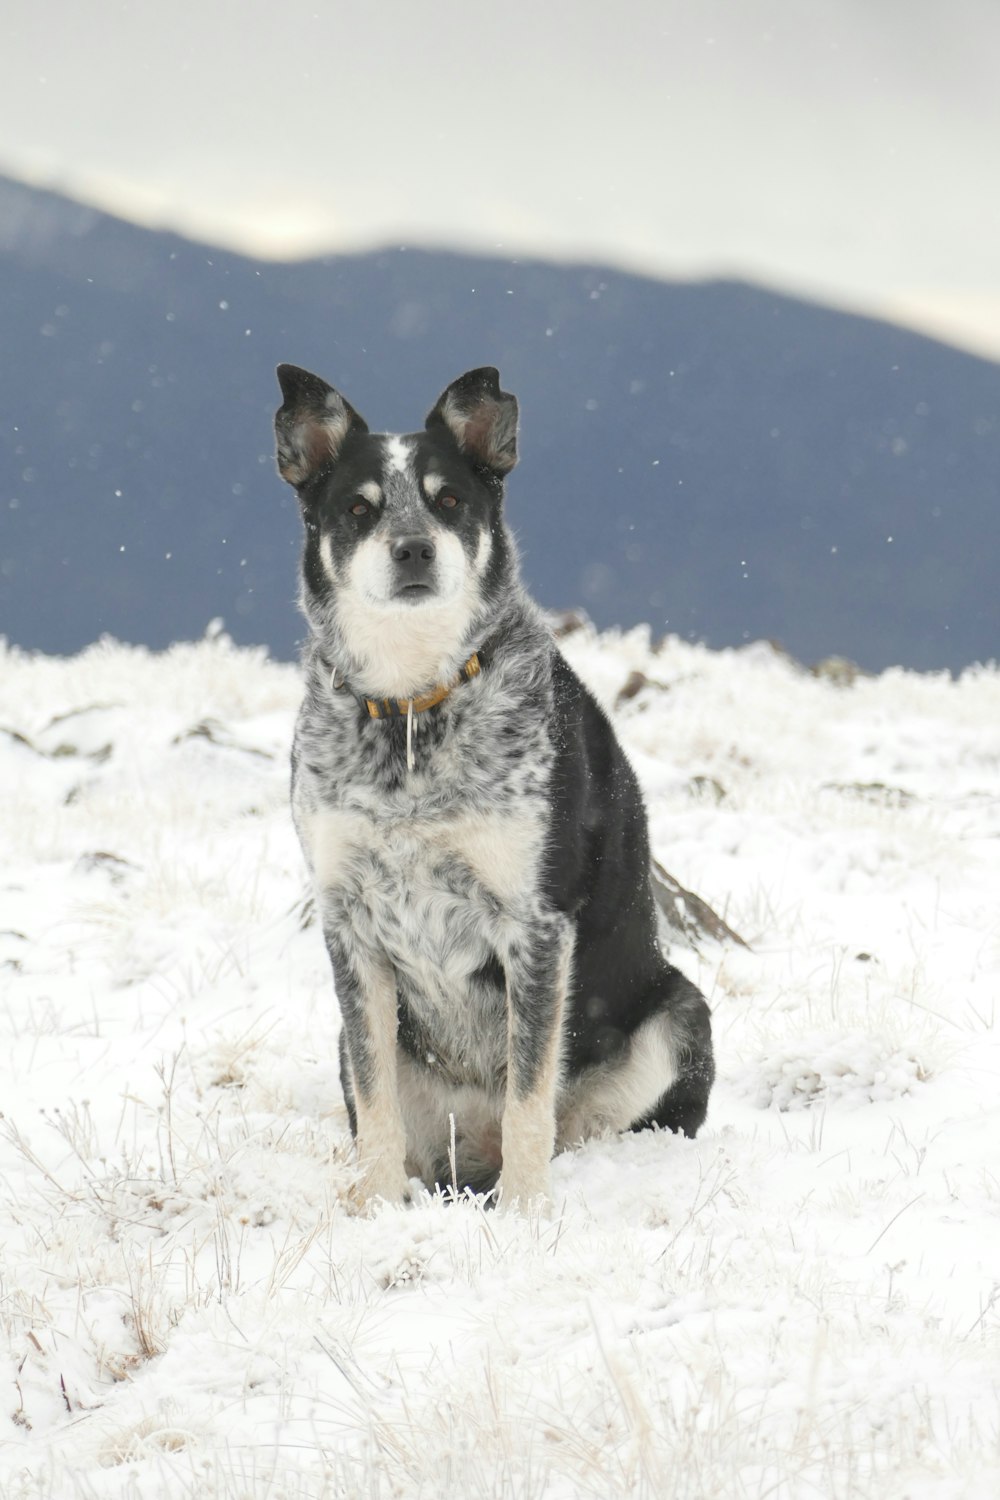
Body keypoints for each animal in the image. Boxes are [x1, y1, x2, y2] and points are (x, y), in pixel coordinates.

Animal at [271, 363, 710, 1206]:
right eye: (359, 508)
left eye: (449, 501)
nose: (412, 548)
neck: (413, 707)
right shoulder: (350, 926)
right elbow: (375, 1099)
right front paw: (375, 1210)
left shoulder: (534, 925)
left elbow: (530, 1098)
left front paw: (527, 1215)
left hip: (678, 1015)